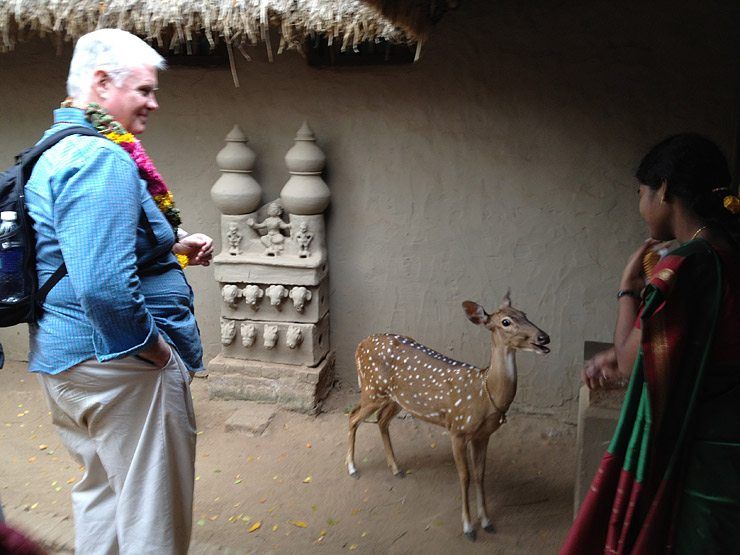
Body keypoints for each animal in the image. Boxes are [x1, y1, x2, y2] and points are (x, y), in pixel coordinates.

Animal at [346, 292, 550, 541]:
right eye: (506, 322)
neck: (485, 395)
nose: (544, 338)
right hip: (372, 389)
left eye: (524, 313)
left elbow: (480, 474)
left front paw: (487, 522)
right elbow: (465, 476)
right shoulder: (458, 429)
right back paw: (353, 468)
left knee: (381, 420)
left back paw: (396, 469)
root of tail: (359, 345)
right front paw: (468, 528)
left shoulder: (483, 436)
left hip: (395, 399)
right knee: (353, 416)